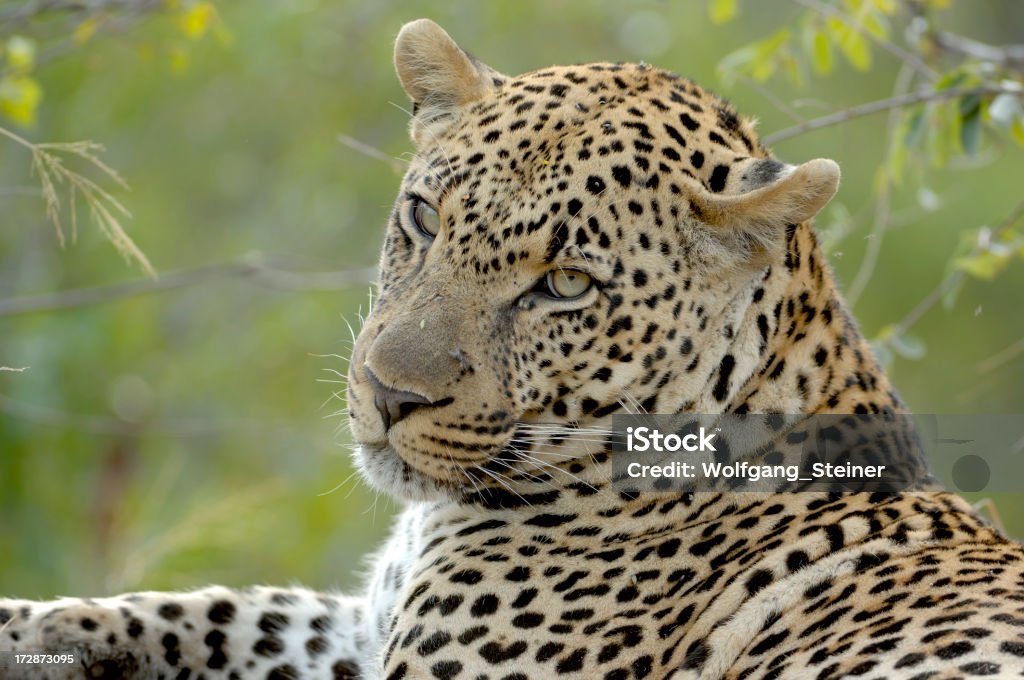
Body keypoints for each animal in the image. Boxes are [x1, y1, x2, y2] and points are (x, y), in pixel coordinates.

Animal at [2, 17, 1024, 680]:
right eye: (425, 217)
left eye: (564, 285)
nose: (388, 394)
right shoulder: (361, 626)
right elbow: (203, 607)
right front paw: (27, 628)